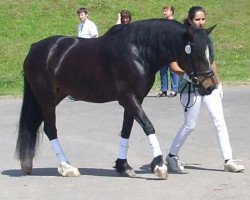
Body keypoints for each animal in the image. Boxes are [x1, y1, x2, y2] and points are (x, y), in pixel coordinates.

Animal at [15, 18, 218, 178]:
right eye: (198, 54)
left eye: (210, 53)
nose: (210, 86)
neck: (138, 52)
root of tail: (35, 48)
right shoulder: (128, 98)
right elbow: (148, 125)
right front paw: (159, 165)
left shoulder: (136, 99)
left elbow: (126, 130)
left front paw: (123, 166)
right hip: (47, 98)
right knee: (50, 129)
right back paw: (67, 167)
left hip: (54, 96)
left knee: (36, 123)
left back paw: (27, 162)